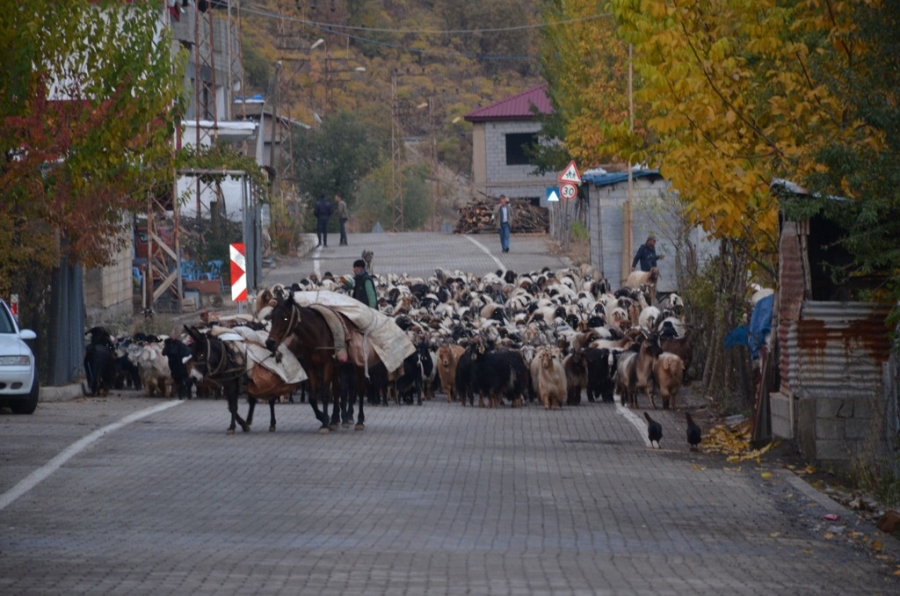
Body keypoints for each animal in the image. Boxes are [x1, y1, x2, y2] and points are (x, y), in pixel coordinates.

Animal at [266, 294, 368, 430]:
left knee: (358, 389)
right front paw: (324, 417)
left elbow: (325, 392)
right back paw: (335, 419)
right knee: (338, 390)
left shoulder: (327, 365)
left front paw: (325, 423)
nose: (270, 343)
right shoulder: (311, 366)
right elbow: (313, 397)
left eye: (285, 318)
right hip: (337, 368)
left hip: (355, 364)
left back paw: (358, 420)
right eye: (271, 318)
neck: (316, 334)